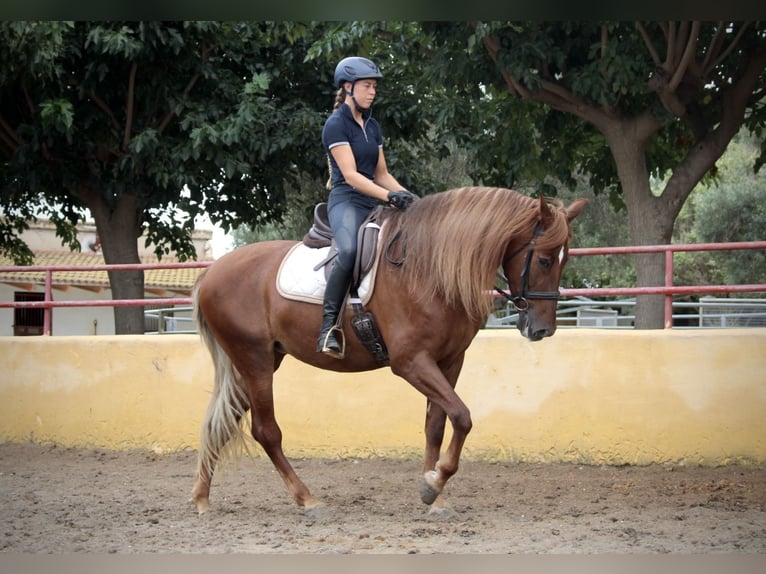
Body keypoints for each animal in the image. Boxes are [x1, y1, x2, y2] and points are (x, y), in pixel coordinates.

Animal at [190, 188, 588, 516]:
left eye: (563, 260)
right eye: (545, 260)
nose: (543, 330)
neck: (428, 268)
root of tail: (212, 273)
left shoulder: (449, 361)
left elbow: (437, 424)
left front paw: (434, 495)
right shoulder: (411, 363)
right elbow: (462, 416)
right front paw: (434, 482)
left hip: (259, 362)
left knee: (223, 421)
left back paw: (202, 498)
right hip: (254, 359)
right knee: (265, 430)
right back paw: (307, 499)